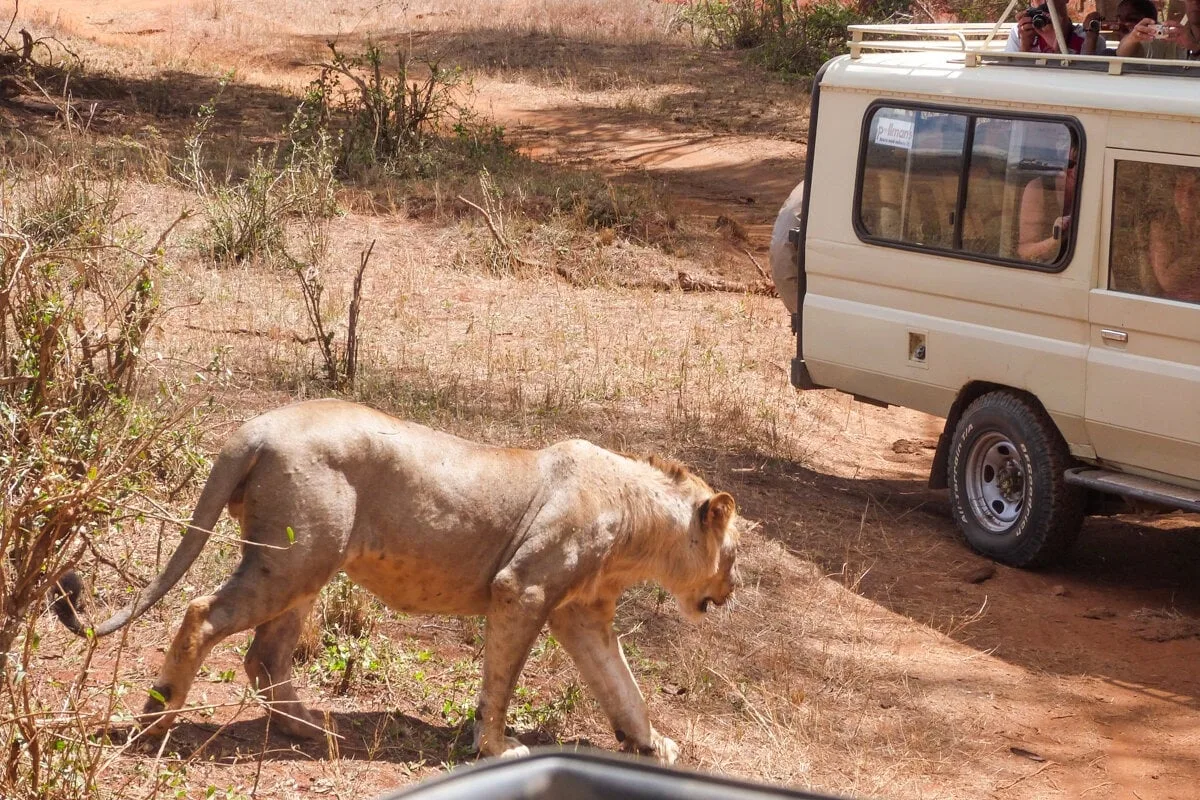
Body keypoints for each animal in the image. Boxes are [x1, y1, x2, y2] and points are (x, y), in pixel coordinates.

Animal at [59, 399, 739, 763]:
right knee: (202, 615)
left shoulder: (581, 613)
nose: (731, 593)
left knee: (265, 655)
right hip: (293, 561)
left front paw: (652, 747)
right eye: (733, 556)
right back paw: (155, 722)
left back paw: (313, 730)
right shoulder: (522, 589)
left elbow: (622, 688)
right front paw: (496, 748)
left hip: (305, 567)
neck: (637, 525)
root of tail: (258, 426)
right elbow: (501, 681)